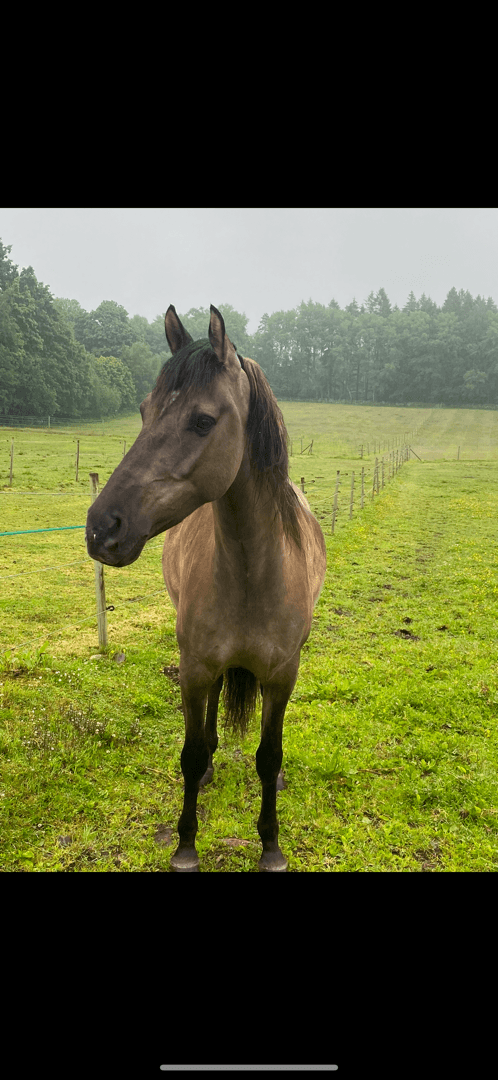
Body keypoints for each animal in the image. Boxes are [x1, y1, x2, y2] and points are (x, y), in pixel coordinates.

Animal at [85, 302, 326, 868]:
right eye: (145, 411)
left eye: (202, 421)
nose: (102, 528)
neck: (251, 576)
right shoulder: (193, 668)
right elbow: (191, 755)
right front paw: (185, 845)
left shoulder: (283, 674)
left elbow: (268, 754)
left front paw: (271, 845)